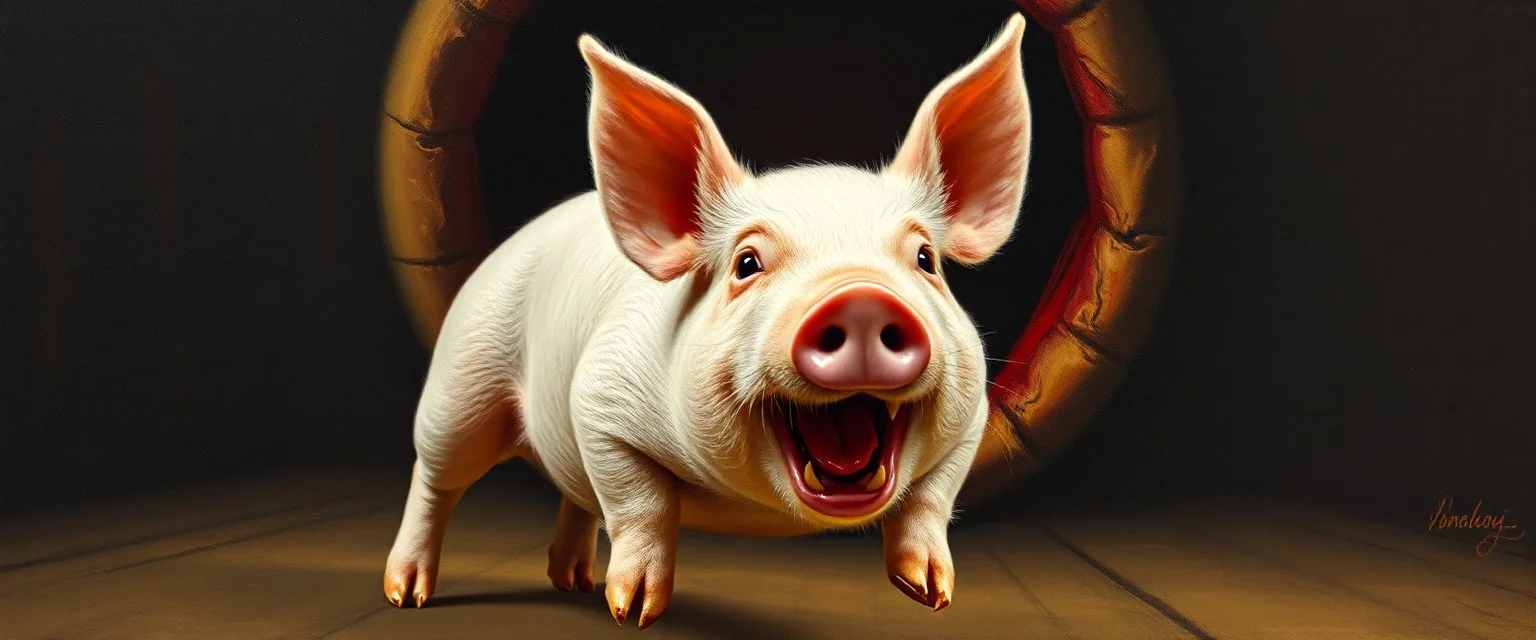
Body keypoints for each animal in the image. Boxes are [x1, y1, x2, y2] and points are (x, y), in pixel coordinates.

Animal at [383, 13, 1033, 628]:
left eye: (924, 259)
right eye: (746, 263)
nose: (862, 297)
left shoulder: (973, 416)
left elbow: (931, 500)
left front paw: (933, 595)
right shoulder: (601, 396)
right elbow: (641, 502)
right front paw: (632, 611)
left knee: (573, 496)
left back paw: (572, 583)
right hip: (463, 381)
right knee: (435, 477)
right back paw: (406, 594)